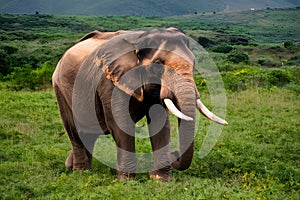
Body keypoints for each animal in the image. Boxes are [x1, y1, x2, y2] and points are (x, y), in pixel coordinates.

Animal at [52, 28, 227, 181]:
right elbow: (121, 125)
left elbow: (160, 123)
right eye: (158, 63)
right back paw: (80, 172)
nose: (175, 153)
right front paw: (126, 182)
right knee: (74, 131)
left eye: (194, 62)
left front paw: (160, 180)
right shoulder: (111, 84)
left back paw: (71, 166)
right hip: (60, 88)